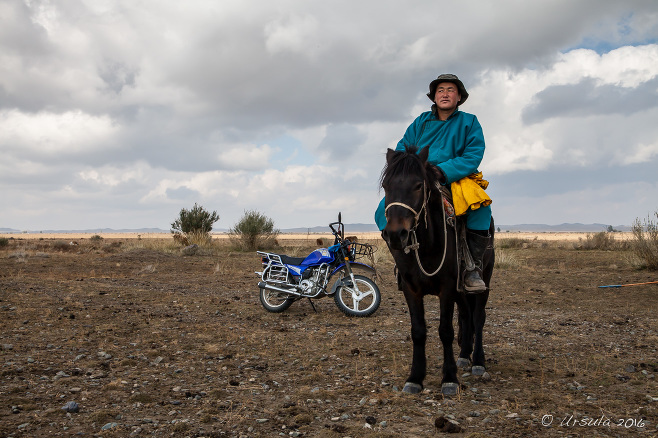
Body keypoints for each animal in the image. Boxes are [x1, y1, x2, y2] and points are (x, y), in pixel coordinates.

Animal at [380, 147, 492, 396]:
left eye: (418, 185)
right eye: (386, 186)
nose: (395, 234)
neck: (427, 244)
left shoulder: (447, 288)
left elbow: (445, 331)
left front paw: (449, 379)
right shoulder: (411, 289)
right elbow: (418, 331)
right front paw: (415, 378)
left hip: (483, 280)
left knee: (478, 317)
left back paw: (479, 362)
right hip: (461, 292)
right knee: (466, 315)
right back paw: (464, 356)